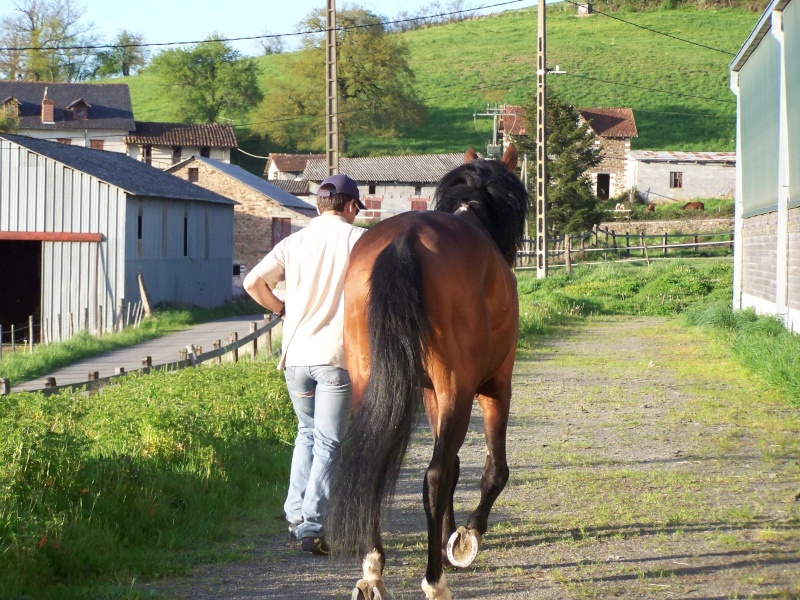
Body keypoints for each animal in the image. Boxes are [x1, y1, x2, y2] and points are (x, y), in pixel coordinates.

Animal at [328, 145, 528, 600]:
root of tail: (407, 238)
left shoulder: (433, 394)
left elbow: (453, 464)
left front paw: (448, 534)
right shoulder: (493, 387)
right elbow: (492, 470)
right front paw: (465, 538)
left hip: (373, 386)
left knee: (375, 463)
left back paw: (372, 571)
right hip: (460, 388)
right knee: (435, 474)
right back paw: (435, 581)